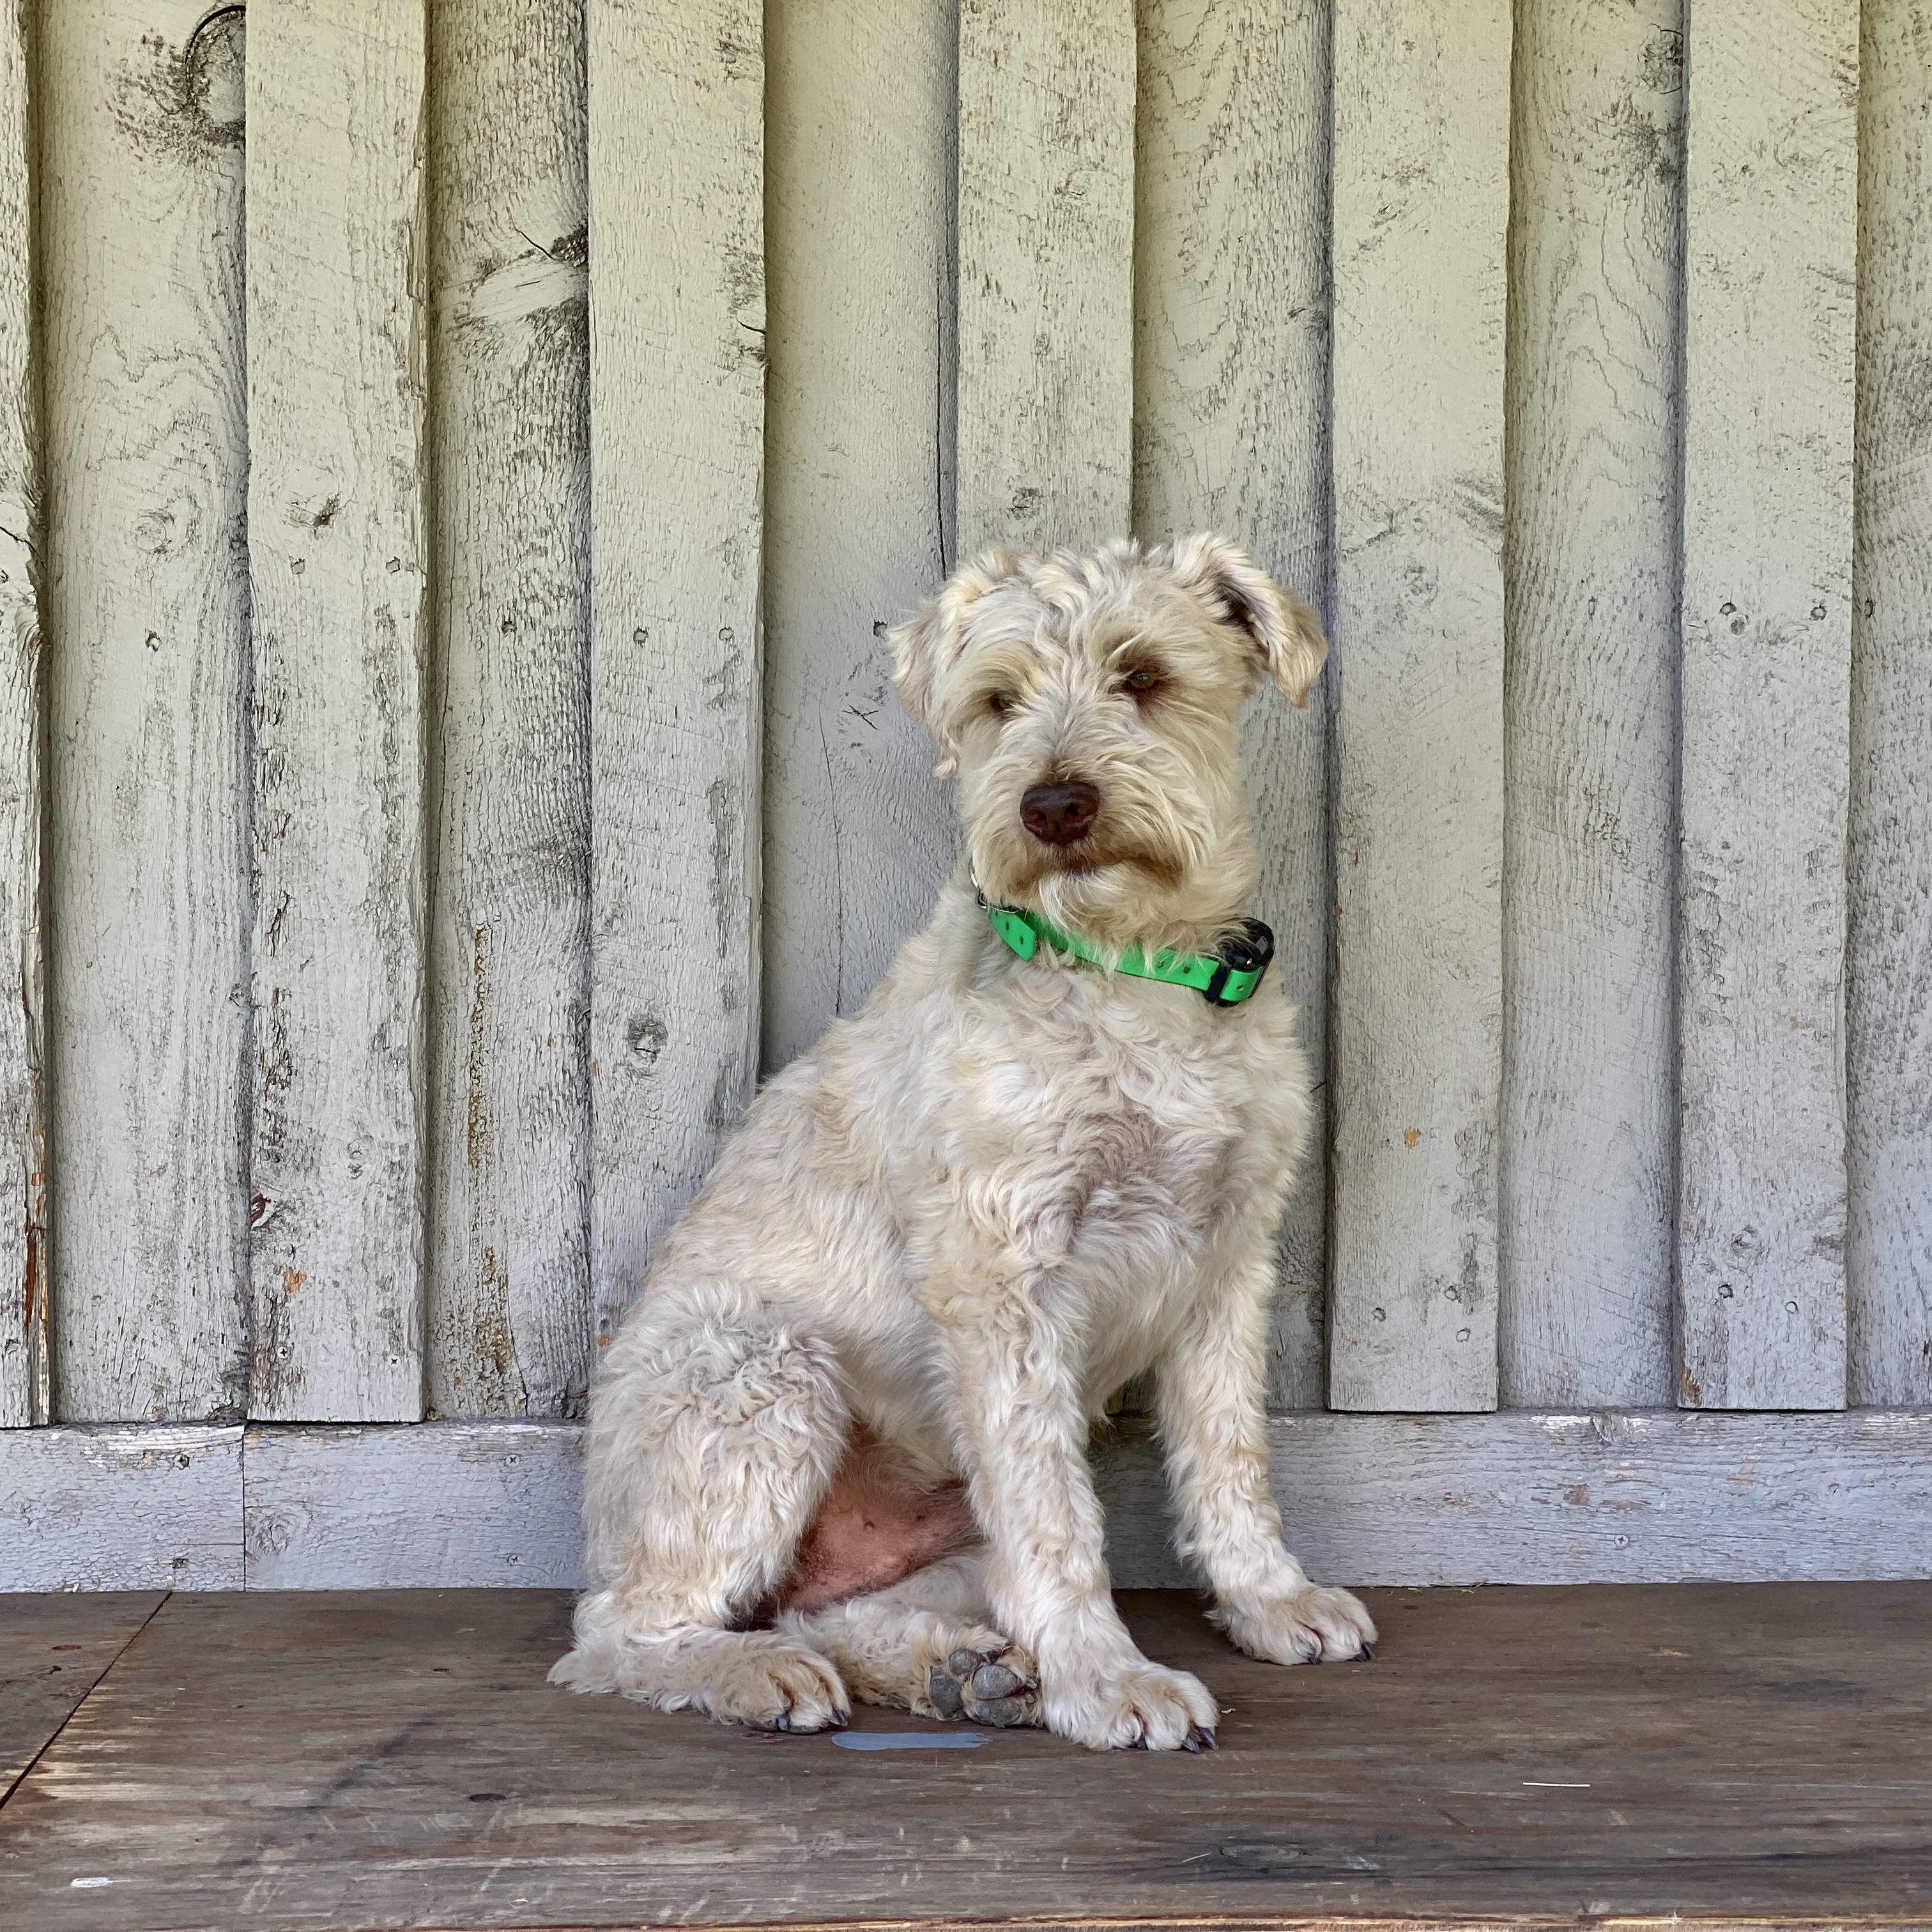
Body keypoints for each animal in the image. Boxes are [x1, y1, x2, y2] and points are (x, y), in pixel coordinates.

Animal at [551, 534, 1376, 1750]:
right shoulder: (1001, 1278)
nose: (1053, 805)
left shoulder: (1226, 1259)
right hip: (760, 1377)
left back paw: (959, 1672)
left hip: (935, 1537)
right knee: (616, 1632)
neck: (1125, 971)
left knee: (832, 1612)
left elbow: (1230, 1456)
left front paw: (1269, 1599)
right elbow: (1055, 1516)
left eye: (1141, 675)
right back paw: (760, 1674)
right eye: (995, 701)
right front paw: (1107, 1679)